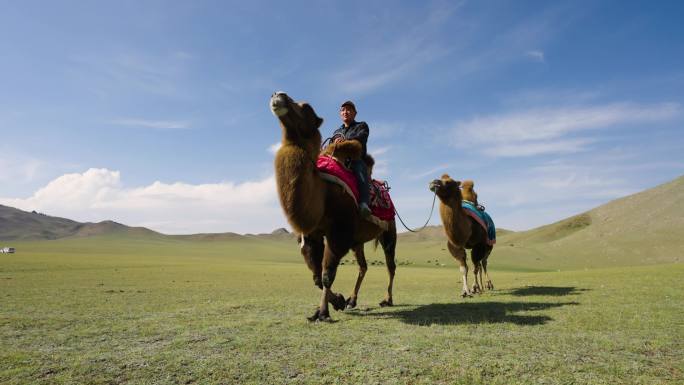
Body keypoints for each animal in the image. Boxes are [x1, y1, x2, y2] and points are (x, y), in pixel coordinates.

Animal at [268, 91, 396, 320]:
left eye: (307, 108)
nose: (278, 95)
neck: (322, 193)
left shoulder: (339, 232)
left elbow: (327, 275)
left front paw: (323, 312)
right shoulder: (313, 234)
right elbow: (317, 277)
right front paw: (338, 301)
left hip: (388, 231)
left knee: (391, 265)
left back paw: (387, 299)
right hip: (358, 240)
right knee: (363, 266)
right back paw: (353, 300)